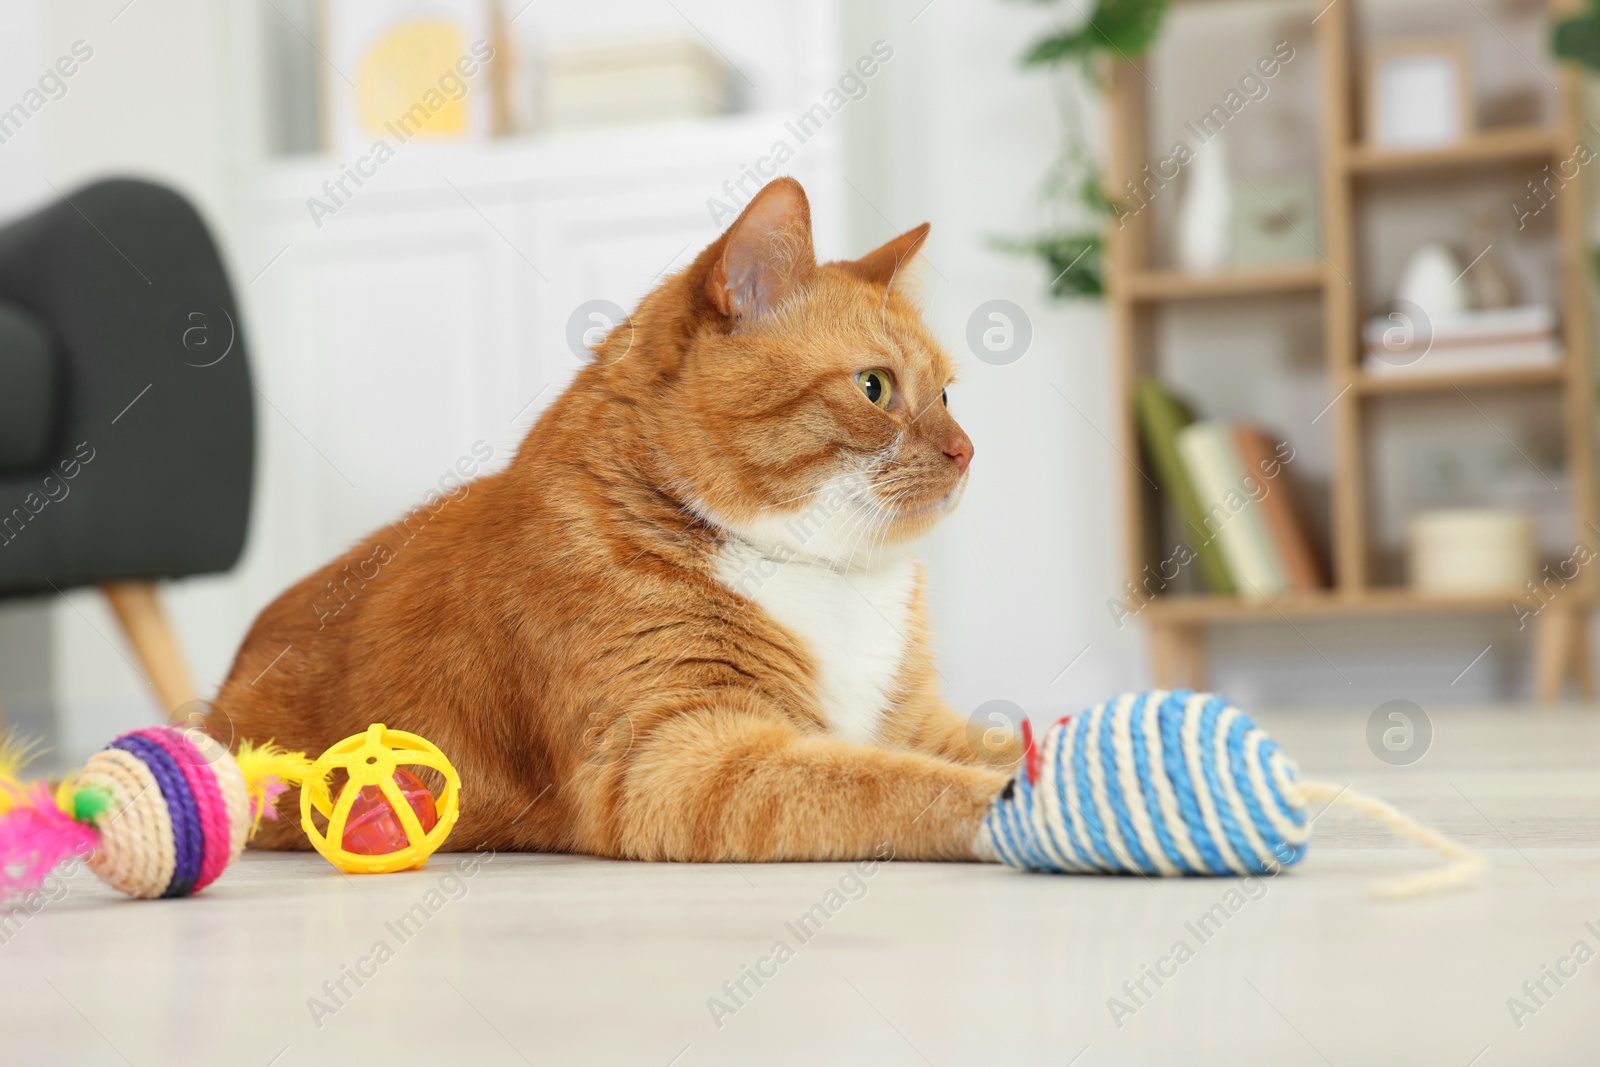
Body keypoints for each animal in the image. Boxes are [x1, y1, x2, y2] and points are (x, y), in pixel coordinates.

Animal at [212, 175, 1017, 857]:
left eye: (947, 395)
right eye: (875, 387)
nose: (968, 451)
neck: (823, 571)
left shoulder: (918, 722)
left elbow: (1008, 740)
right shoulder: (676, 759)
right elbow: (895, 781)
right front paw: (1022, 805)